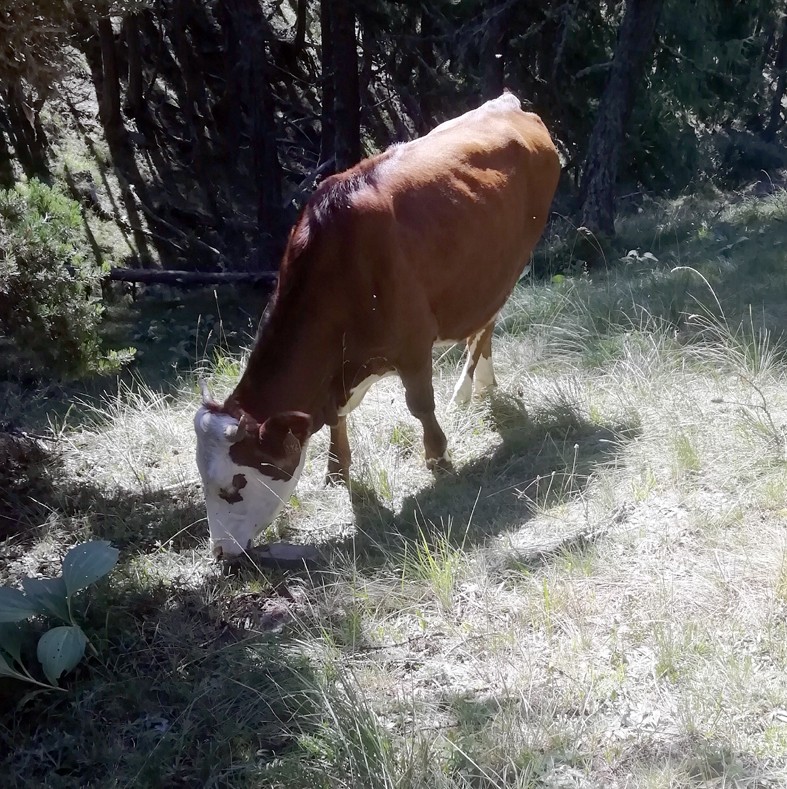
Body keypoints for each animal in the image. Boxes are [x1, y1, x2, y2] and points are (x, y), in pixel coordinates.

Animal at [194, 92, 560, 556]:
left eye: (235, 485)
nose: (221, 553)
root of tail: (509, 104)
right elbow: (336, 419)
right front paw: (337, 470)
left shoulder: (413, 343)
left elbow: (420, 404)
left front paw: (439, 458)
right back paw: (483, 383)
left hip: (513, 262)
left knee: (486, 323)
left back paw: (466, 388)